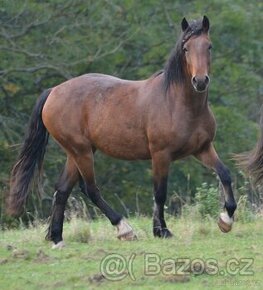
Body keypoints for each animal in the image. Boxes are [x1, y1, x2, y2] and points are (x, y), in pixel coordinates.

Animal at [6, 15, 237, 248]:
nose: (200, 81)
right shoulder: (161, 155)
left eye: (209, 46)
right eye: (186, 48)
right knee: (90, 189)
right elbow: (160, 193)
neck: (178, 103)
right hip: (81, 151)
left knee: (62, 190)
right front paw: (161, 230)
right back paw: (124, 228)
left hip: (77, 152)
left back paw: (57, 238)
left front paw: (226, 219)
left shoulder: (203, 149)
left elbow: (225, 174)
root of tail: (53, 91)